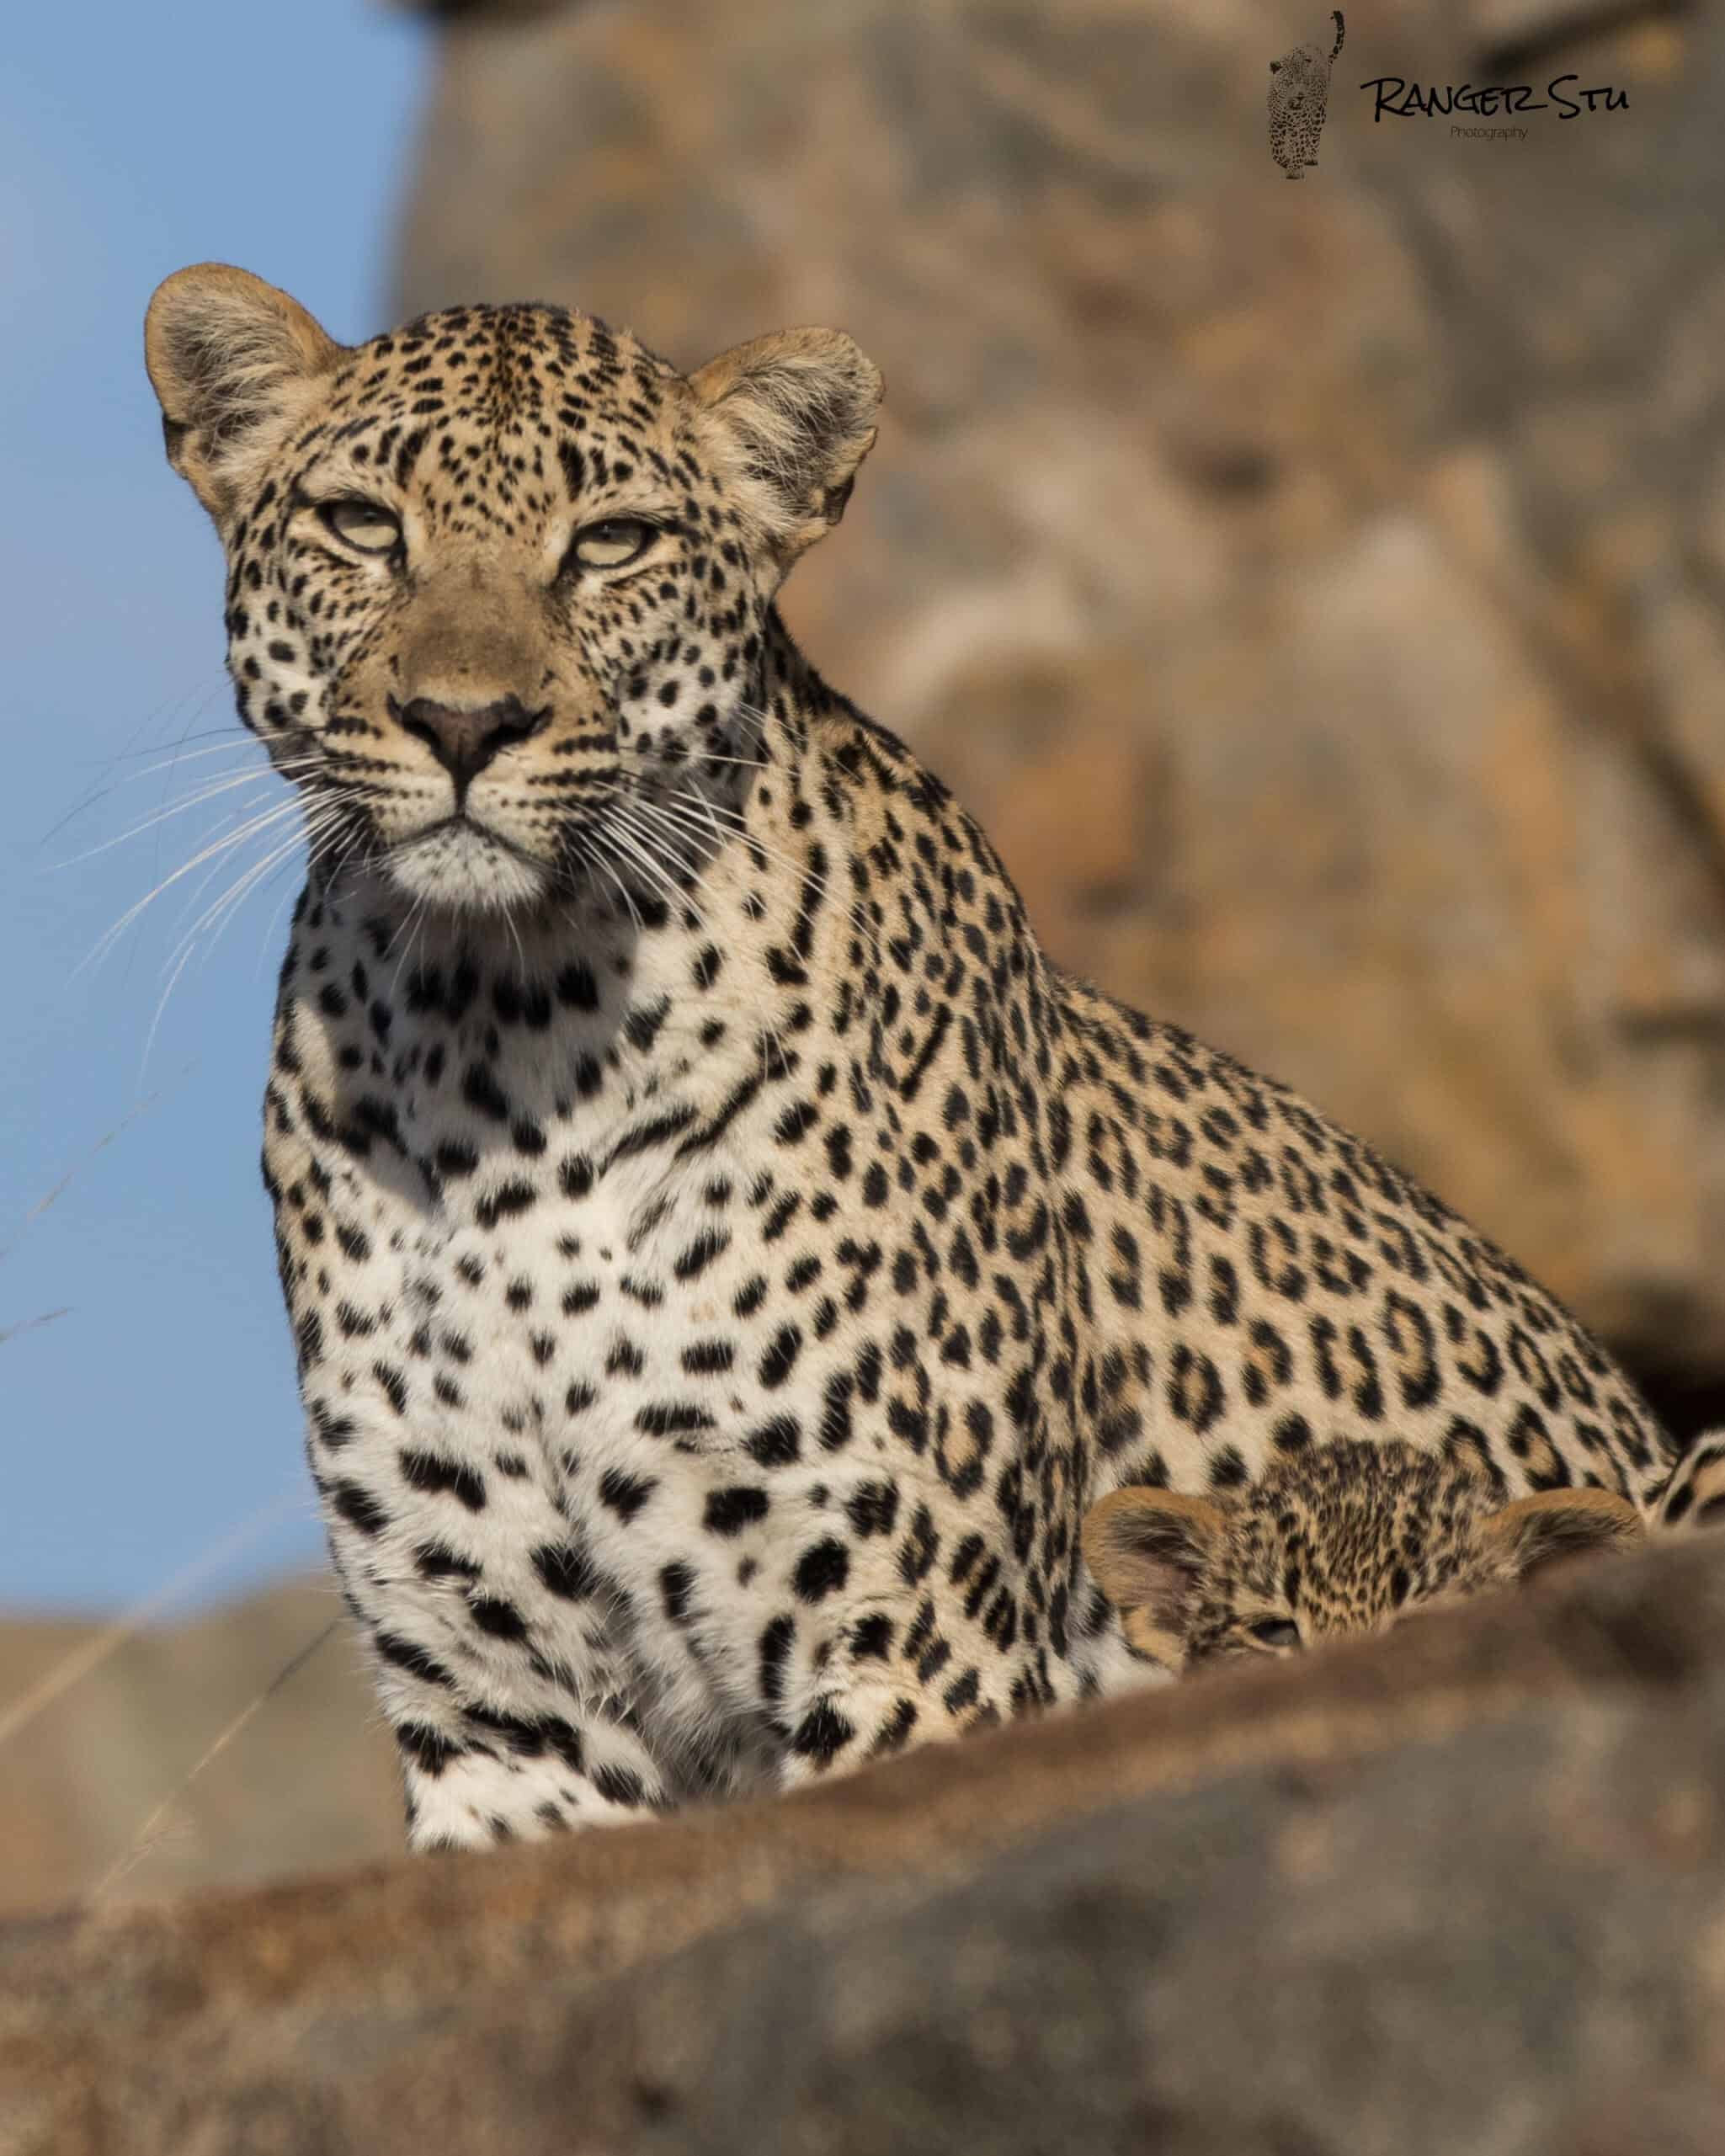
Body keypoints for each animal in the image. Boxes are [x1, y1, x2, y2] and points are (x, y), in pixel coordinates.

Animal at [148, 265, 1681, 1854]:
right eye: (360, 525)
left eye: (613, 543)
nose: (464, 722)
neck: (497, 1038)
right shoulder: (496, 1709)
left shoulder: (911, 1641)